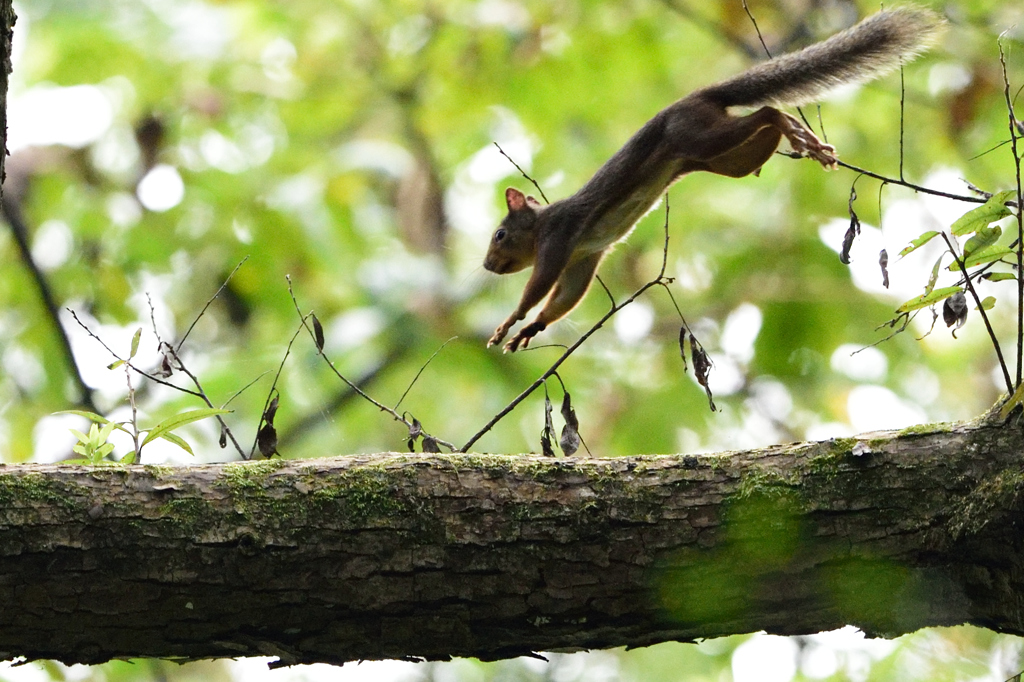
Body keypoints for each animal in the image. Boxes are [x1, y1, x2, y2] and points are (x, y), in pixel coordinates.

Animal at [483, 6, 937, 350]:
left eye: (500, 235)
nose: (487, 265)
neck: (542, 224)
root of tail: (700, 96)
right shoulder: (584, 258)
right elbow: (564, 298)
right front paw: (531, 329)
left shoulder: (559, 239)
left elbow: (540, 286)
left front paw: (510, 321)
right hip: (727, 160)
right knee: (764, 128)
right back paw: (800, 137)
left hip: (698, 136)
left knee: (766, 111)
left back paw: (791, 128)